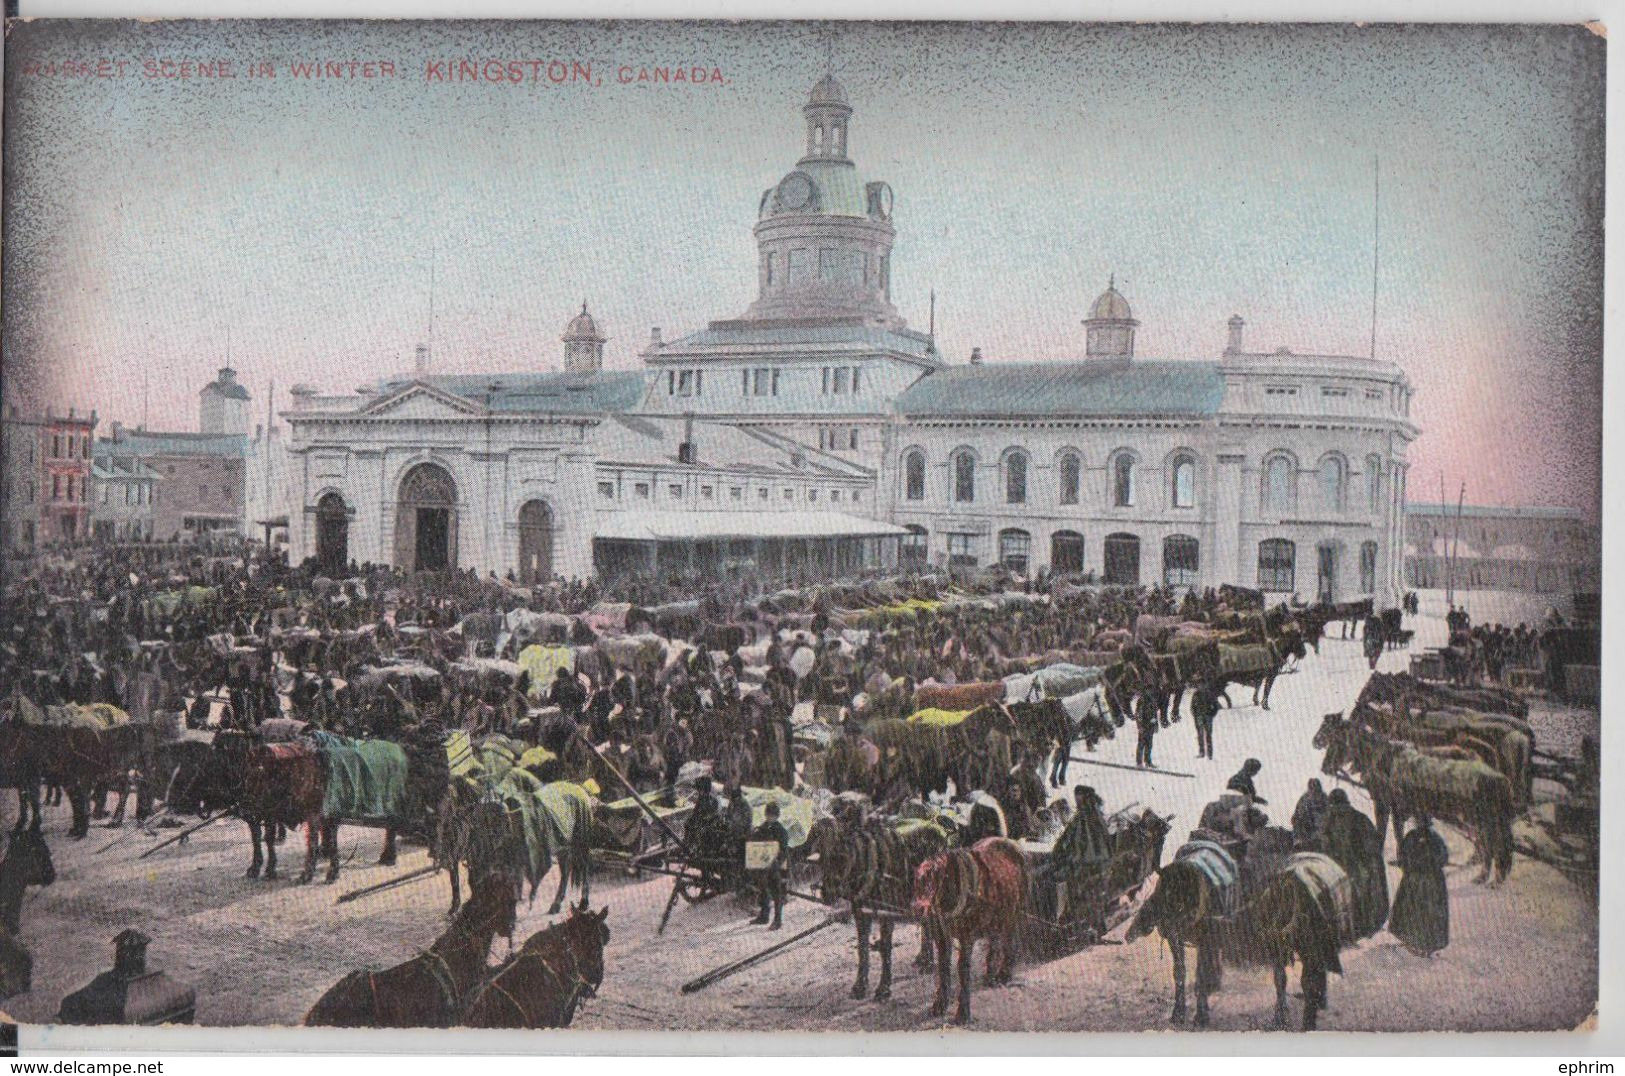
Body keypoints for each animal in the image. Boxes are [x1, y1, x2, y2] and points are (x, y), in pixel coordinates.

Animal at [916, 832, 1027, 1027]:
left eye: (936, 880)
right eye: (919, 881)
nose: (919, 910)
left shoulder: (966, 938)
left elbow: (963, 970)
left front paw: (962, 1012)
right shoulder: (941, 937)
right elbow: (943, 968)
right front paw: (940, 1004)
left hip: (1013, 913)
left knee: (1009, 942)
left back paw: (1004, 975)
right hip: (995, 920)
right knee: (994, 945)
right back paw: (990, 977)